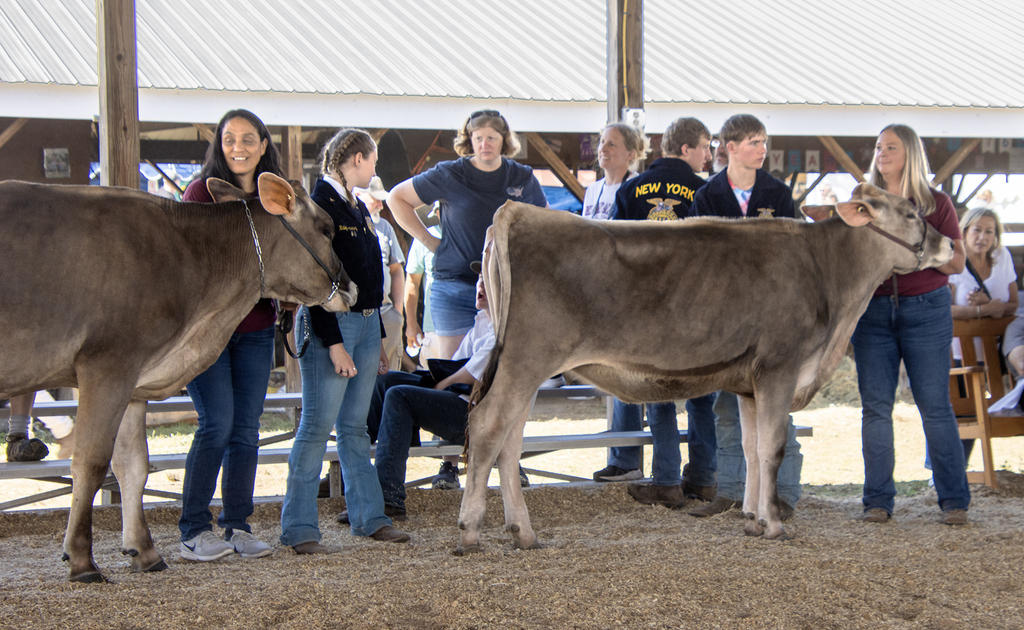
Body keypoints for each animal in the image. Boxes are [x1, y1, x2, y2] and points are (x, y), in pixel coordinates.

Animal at [0, 173, 355, 582]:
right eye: (327, 229)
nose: (352, 287)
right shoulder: (107, 365)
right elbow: (90, 463)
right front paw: (81, 559)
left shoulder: (134, 382)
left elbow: (134, 465)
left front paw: (144, 551)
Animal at [456, 182, 954, 554]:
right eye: (911, 213)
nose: (950, 242)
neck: (830, 276)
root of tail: (520, 212)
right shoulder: (780, 367)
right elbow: (772, 449)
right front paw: (776, 526)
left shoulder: (751, 384)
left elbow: (753, 449)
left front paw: (752, 519)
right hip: (526, 359)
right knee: (488, 426)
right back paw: (470, 532)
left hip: (527, 369)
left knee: (509, 441)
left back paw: (524, 534)